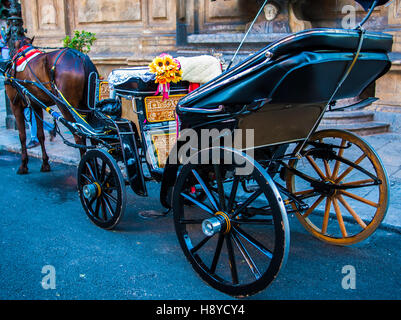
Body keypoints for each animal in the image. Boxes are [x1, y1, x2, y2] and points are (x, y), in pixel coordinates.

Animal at [6, 37, 97, 175]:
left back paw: (86, 170)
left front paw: (23, 165)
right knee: (92, 136)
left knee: (79, 136)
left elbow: (22, 136)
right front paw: (45, 163)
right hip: (86, 105)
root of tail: (80, 57)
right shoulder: (36, 105)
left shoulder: (14, 105)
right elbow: (40, 135)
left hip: (66, 106)